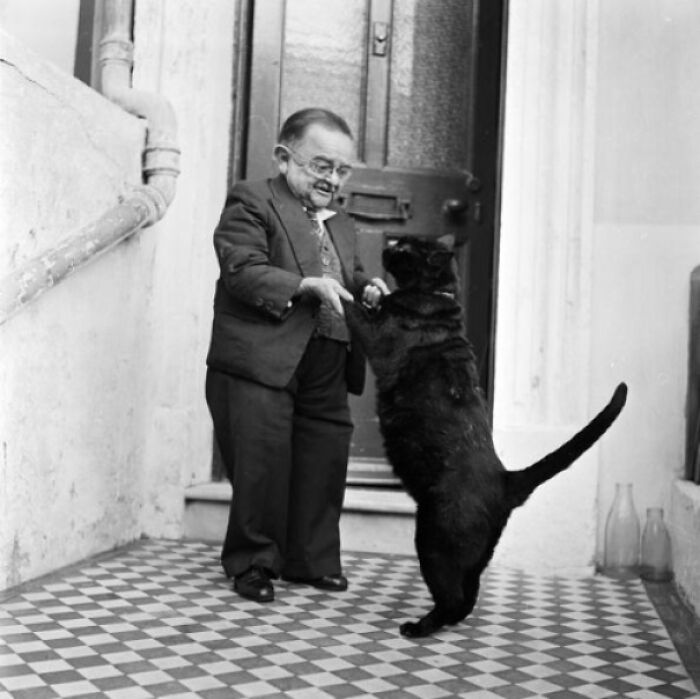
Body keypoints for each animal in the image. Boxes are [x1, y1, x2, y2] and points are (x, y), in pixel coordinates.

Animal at [342, 237, 628, 640]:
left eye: (406, 249)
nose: (390, 244)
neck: (435, 295)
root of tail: (506, 479)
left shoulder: (376, 336)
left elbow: (349, 304)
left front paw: (327, 282)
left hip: (432, 541)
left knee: (451, 599)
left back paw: (418, 627)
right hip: (471, 556)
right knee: (468, 596)